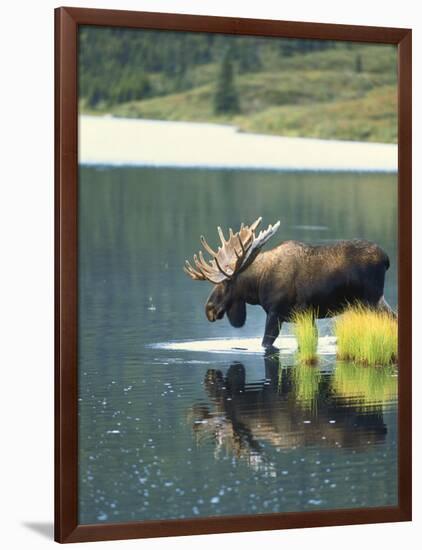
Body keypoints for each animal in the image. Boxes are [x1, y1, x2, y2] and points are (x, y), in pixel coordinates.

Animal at [183, 217, 394, 350]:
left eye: (225, 283)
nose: (209, 309)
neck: (257, 286)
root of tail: (386, 259)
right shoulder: (306, 315)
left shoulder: (275, 312)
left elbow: (265, 343)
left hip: (372, 300)